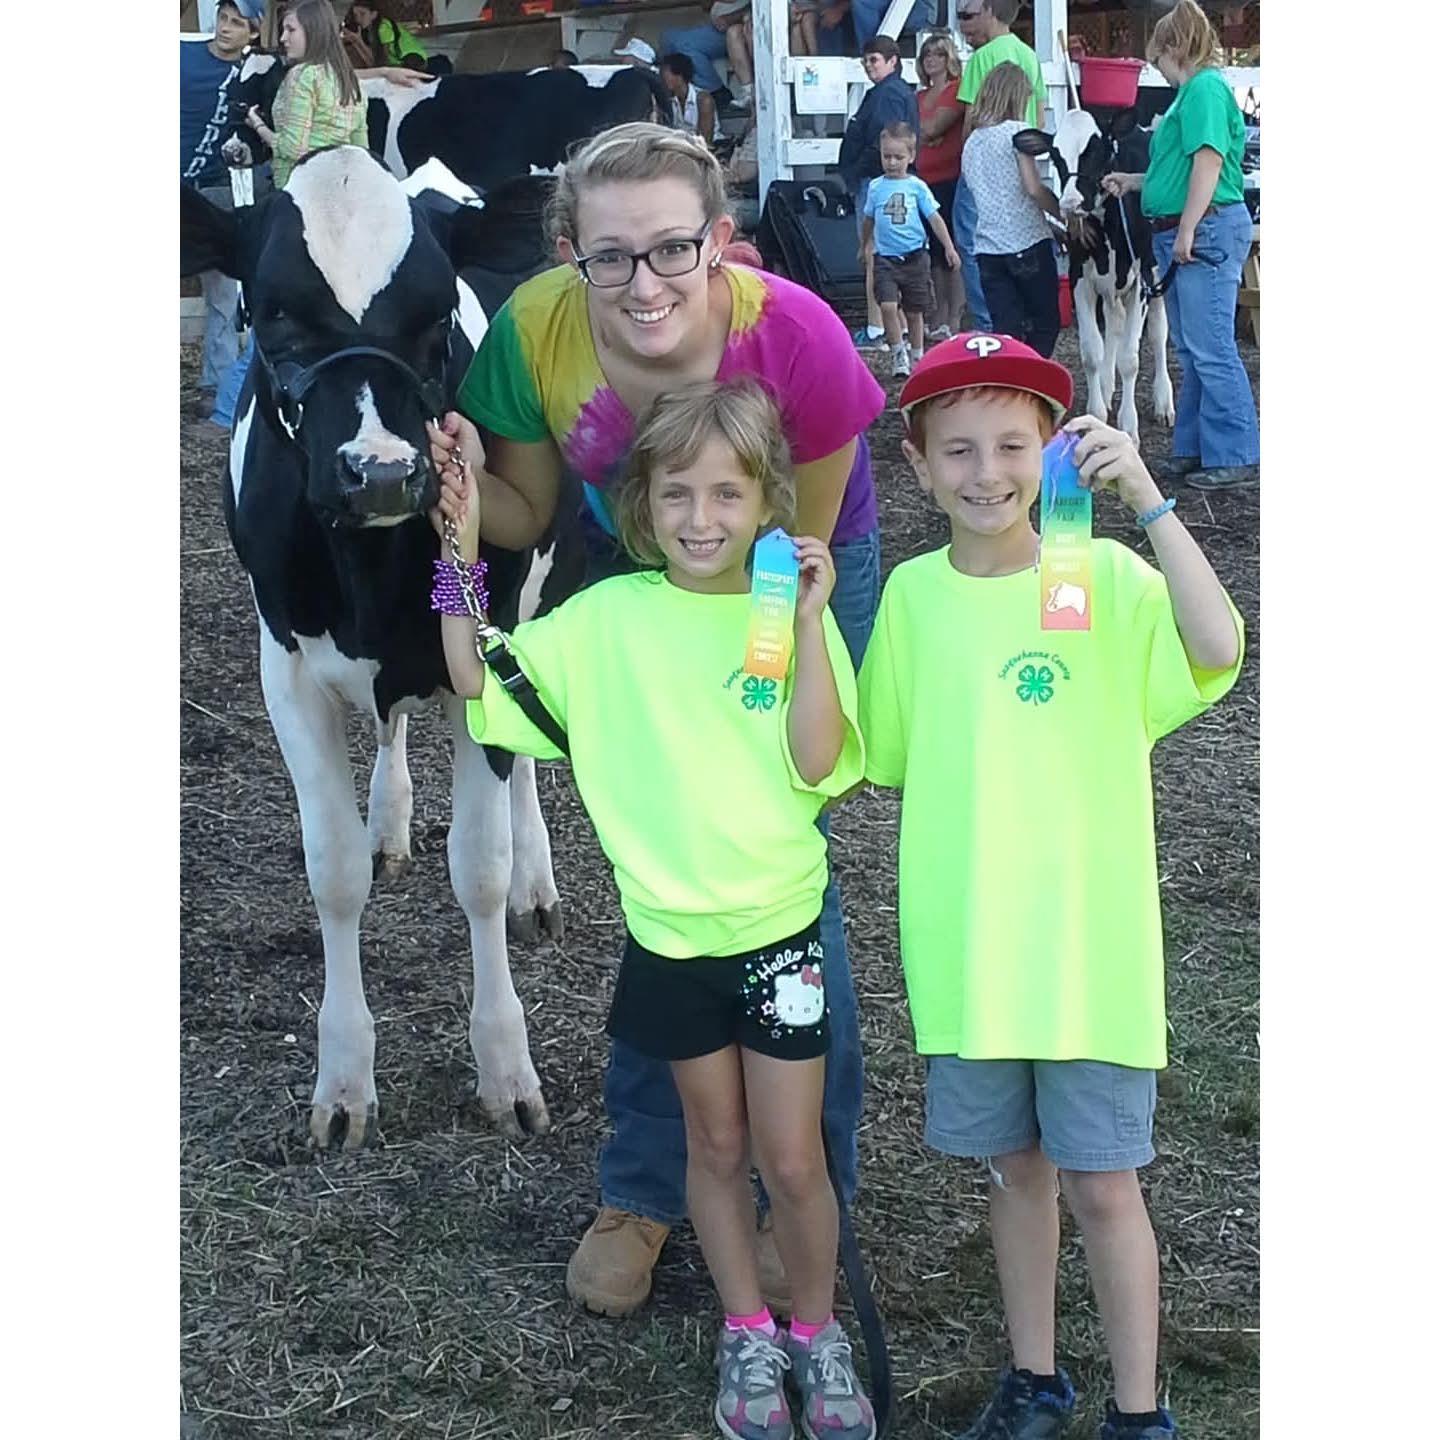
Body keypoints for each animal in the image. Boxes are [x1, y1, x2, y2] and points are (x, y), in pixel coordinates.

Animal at [181, 146, 585, 1150]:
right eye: (273, 310)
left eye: (437, 315)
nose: (385, 474)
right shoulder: (285, 671)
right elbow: (329, 876)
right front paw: (344, 1082)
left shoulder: (480, 646)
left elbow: (478, 869)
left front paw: (505, 1067)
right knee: (391, 726)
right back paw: (389, 823)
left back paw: (537, 881)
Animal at [1014, 110, 1175, 443]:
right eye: (1056, 156)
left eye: (1098, 151)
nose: (1070, 203)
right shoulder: (1080, 280)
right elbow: (1091, 352)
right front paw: (1097, 413)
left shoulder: (1140, 283)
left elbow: (1130, 358)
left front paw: (1128, 426)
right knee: (1113, 323)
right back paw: (1106, 384)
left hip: (1156, 271)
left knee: (1158, 332)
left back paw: (1163, 400)